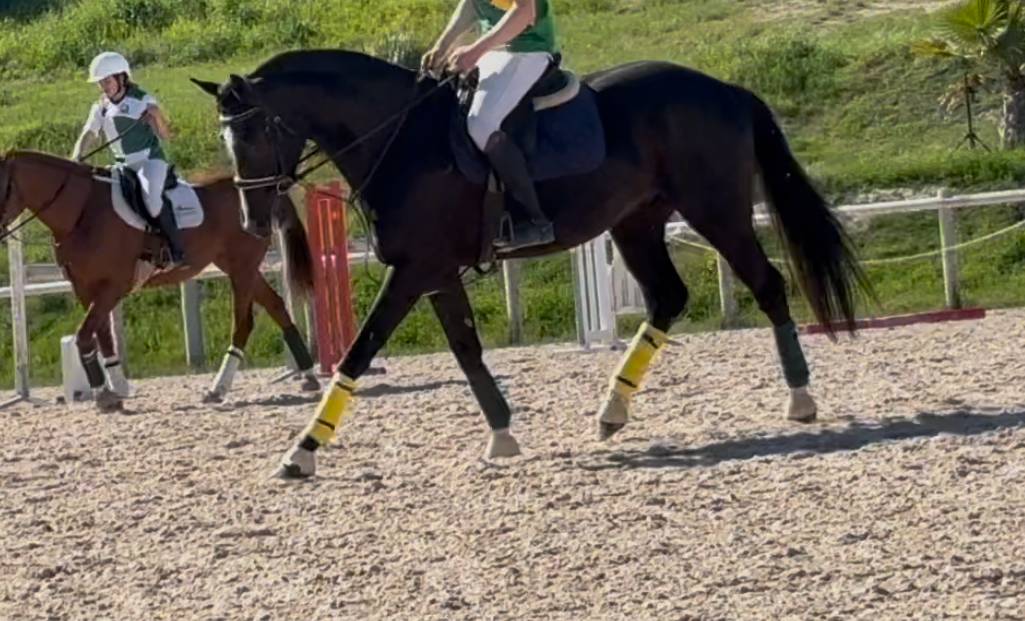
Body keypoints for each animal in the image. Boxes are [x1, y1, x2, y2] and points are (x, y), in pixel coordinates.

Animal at [0, 150, 321, 411]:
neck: (83, 211)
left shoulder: (112, 287)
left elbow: (84, 336)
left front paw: (104, 394)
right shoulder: (85, 288)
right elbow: (102, 337)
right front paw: (118, 389)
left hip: (242, 269)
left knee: (243, 324)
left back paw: (218, 389)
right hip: (239, 267)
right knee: (276, 306)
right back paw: (308, 375)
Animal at [191, 49, 870, 478]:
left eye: (255, 134)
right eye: (226, 139)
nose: (254, 221)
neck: (400, 139)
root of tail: (724, 88)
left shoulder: (412, 270)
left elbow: (359, 352)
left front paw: (302, 451)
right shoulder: (434, 271)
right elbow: (467, 349)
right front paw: (502, 435)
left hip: (716, 210)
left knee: (767, 284)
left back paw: (801, 400)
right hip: (636, 222)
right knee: (669, 298)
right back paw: (612, 411)